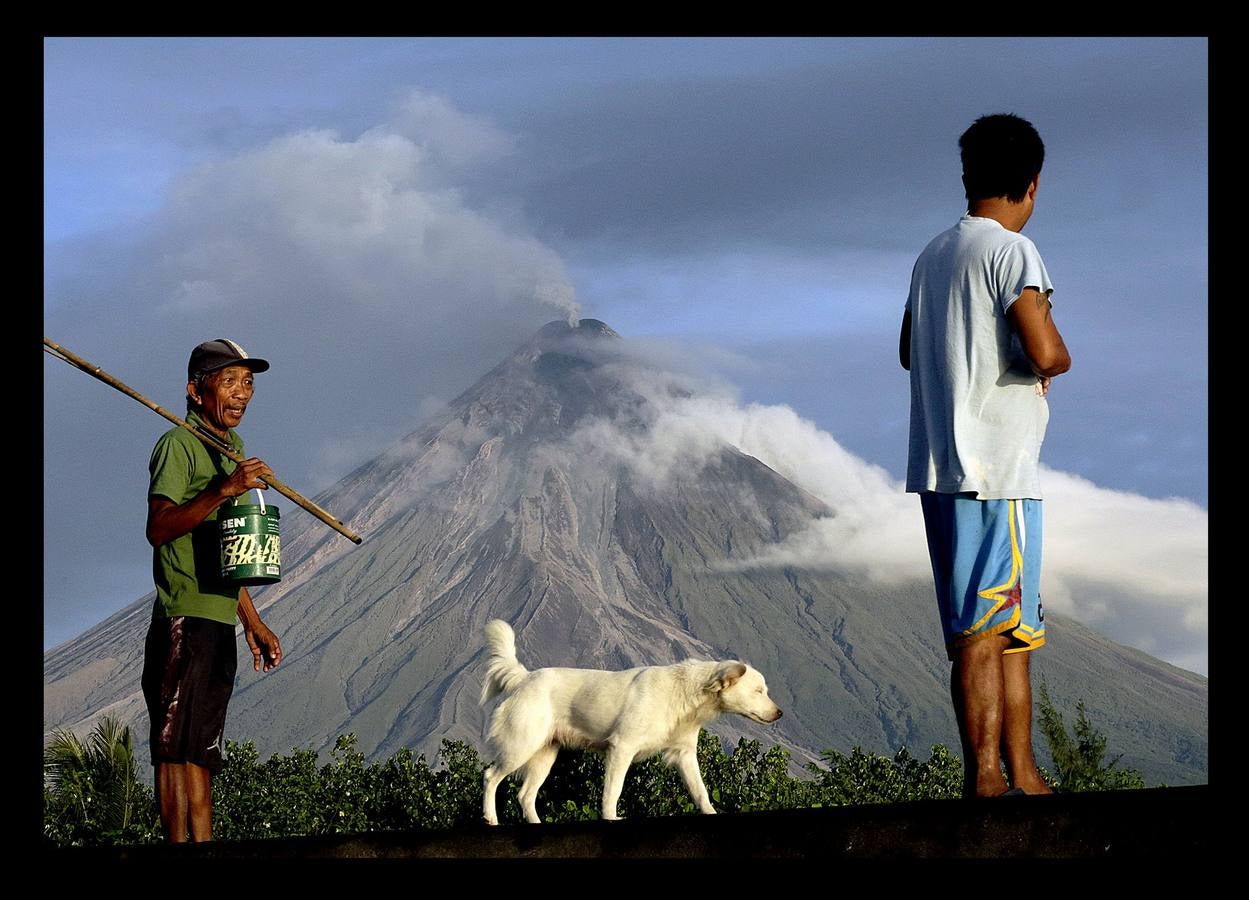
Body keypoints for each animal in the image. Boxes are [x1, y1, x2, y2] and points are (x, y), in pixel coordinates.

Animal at [477, 619, 779, 823]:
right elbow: (614, 790)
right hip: (521, 745)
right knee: (491, 776)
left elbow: (700, 790)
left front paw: (710, 811)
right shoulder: (622, 747)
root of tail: (524, 678)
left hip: (545, 754)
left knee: (525, 795)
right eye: (758, 691)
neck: (685, 694)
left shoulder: (683, 753)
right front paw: (611, 817)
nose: (780, 714)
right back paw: (491, 818)